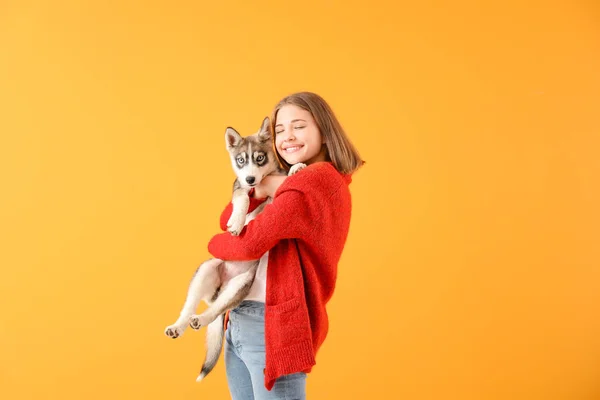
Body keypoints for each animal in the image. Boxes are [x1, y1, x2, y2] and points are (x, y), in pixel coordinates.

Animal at [164, 115, 304, 382]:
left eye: (259, 158)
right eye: (241, 160)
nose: (250, 179)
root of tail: (219, 289)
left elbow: (281, 185)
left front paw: (296, 168)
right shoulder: (238, 189)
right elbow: (244, 198)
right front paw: (237, 221)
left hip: (241, 284)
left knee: (215, 311)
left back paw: (201, 319)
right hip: (207, 269)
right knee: (189, 307)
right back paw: (179, 325)